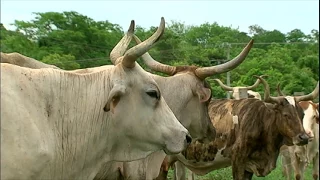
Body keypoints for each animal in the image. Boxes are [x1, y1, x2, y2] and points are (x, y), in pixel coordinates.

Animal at [161, 76, 318, 180]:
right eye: (286, 115)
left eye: (302, 114)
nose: (304, 137)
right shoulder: (237, 161)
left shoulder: (249, 166)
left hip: (178, 160)